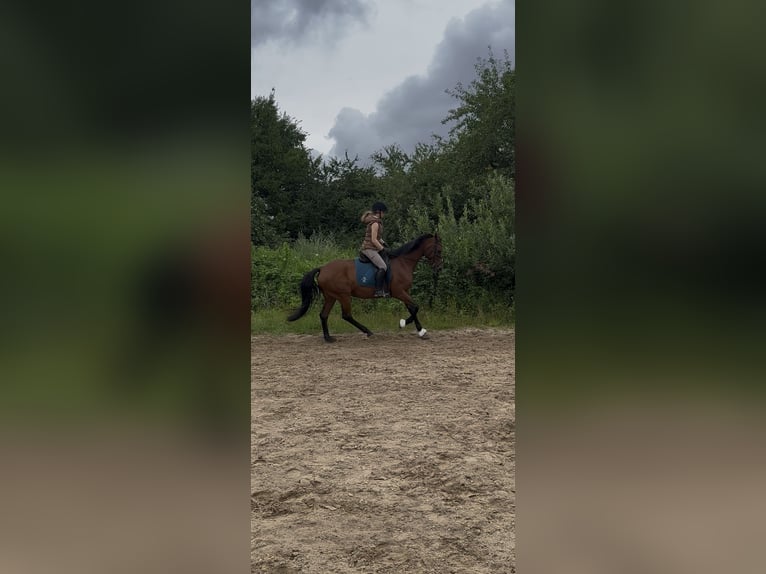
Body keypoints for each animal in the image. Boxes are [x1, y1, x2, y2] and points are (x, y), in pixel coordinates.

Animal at [287, 234, 443, 342]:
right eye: (439, 251)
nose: (439, 268)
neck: (403, 262)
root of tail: (323, 268)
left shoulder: (405, 292)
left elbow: (412, 308)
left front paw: (421, 331)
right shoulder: (399, 292)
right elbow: (415, 307)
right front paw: (403, 323)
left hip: (331, 296)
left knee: (324, 315)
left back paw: (328, 338)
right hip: (343, 295)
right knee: (346, 315)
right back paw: (367, 331)